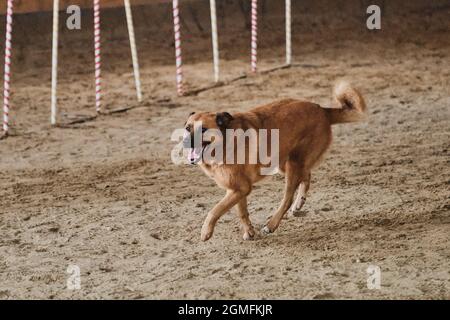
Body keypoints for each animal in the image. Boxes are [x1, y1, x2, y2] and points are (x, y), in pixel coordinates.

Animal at [182, 81, 366, 241]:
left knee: (288, 198)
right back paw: (298, 204)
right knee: (306, 176)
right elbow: (242, 212)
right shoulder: (237, 189)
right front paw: (249, 232)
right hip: (285, 163)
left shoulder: (241, 188)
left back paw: (272, 225)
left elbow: (215, 210)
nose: (184, 142)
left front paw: (205, 232)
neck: (226, 141)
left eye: (203, 129)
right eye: (187, 128)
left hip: (292, 165)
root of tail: (322, 110)